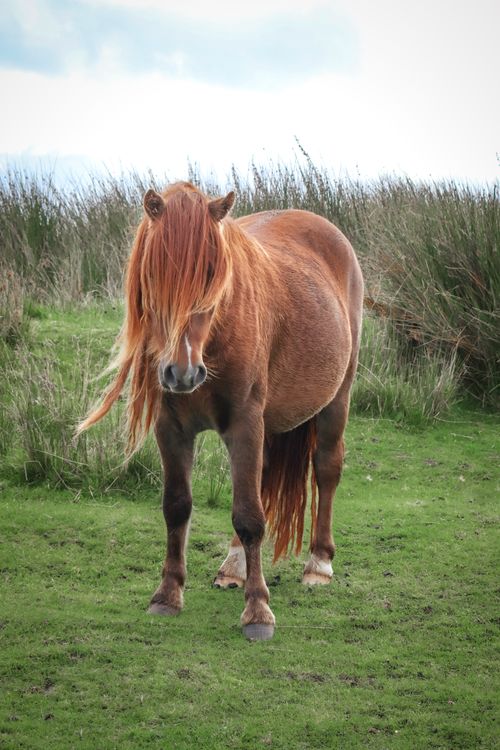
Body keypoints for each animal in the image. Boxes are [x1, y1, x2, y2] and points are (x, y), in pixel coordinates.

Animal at [78, 182, 363, 640]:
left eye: (214, 274)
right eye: (155, 272)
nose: (182, 372)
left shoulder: (245, 424)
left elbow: (250, 516)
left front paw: (258, 611)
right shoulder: (171, 429)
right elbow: (177, 506)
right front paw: (167, 595)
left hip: (336, 399)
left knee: (326, 469)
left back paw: (318, 564)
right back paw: (234, 567)